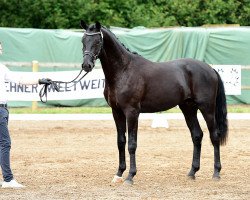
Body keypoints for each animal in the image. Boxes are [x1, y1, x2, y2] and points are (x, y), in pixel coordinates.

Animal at [80, 21, 229, 185]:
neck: (124, 70)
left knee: (214, 136)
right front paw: (119, 173)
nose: (86, 65)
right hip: (188, 108)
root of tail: (210, 69)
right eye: (83, 41)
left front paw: (130, 176)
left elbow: (132, 144)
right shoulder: (116, 111)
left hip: (207, 108)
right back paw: (192, 172)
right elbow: (121, 142)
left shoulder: (132, 112)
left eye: (97, 41)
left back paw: (216, 173)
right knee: (197, 135)